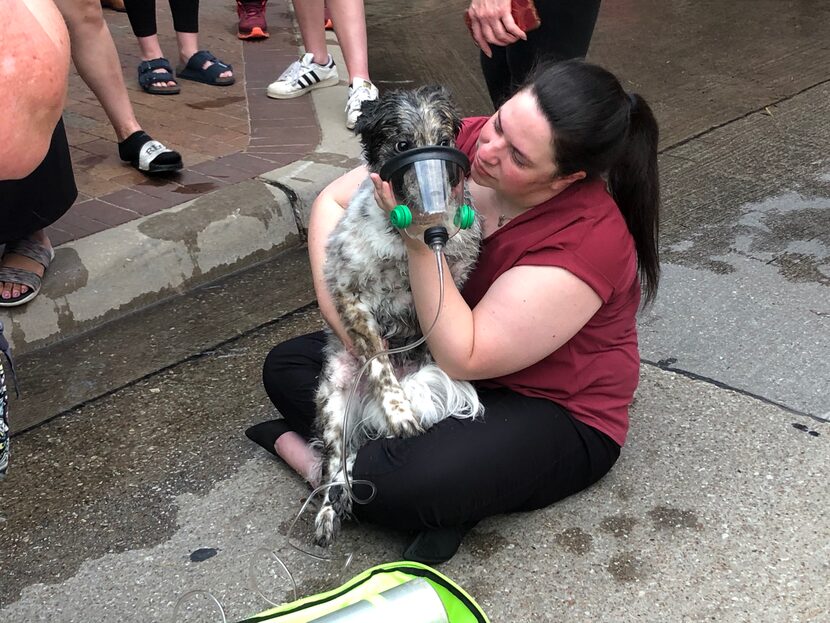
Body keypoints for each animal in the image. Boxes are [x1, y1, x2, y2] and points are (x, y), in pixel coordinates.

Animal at [316, 86, 484, 544]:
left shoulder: (454, 276)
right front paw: (400, 414)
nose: (435, 218)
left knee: (355, 458)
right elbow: (380, 365)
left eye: (444, 142)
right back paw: (328, 511)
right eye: (403, 145)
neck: (404, 244)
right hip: (333, 398)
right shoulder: (350, 295)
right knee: (335, 462)